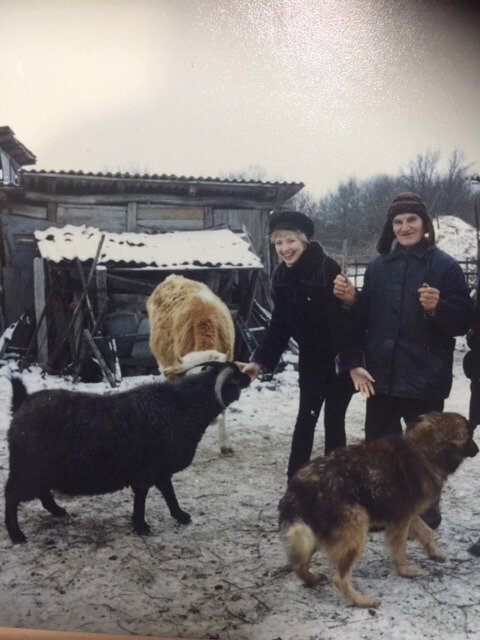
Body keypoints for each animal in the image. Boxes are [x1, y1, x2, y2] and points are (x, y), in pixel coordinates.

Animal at [4, 360, 251, 540]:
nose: (250, 376)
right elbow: (142, 496)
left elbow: (169, 493)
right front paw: (141, 526)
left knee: (42, 491)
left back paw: (57, 511)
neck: (184, 406)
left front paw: (180, 515)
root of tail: (22, 401)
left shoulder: (160, 469)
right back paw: (16, 535)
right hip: (27, 467)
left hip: (39, 469)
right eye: (236, 376)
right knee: (11, 496)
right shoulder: (146, 470)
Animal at [280, 412, 478, 608]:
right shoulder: (402, 519)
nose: (477, 450)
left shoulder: (407, 514)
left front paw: (434, 551)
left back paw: (312, 579)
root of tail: (301, 485)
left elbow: (426, 531)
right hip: (357, 527)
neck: (423, 450)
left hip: (312, 534)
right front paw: (404, 570)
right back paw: (362, 601)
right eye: (470, 434)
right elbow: (400, 547)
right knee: (339, 579)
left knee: (299, 565)